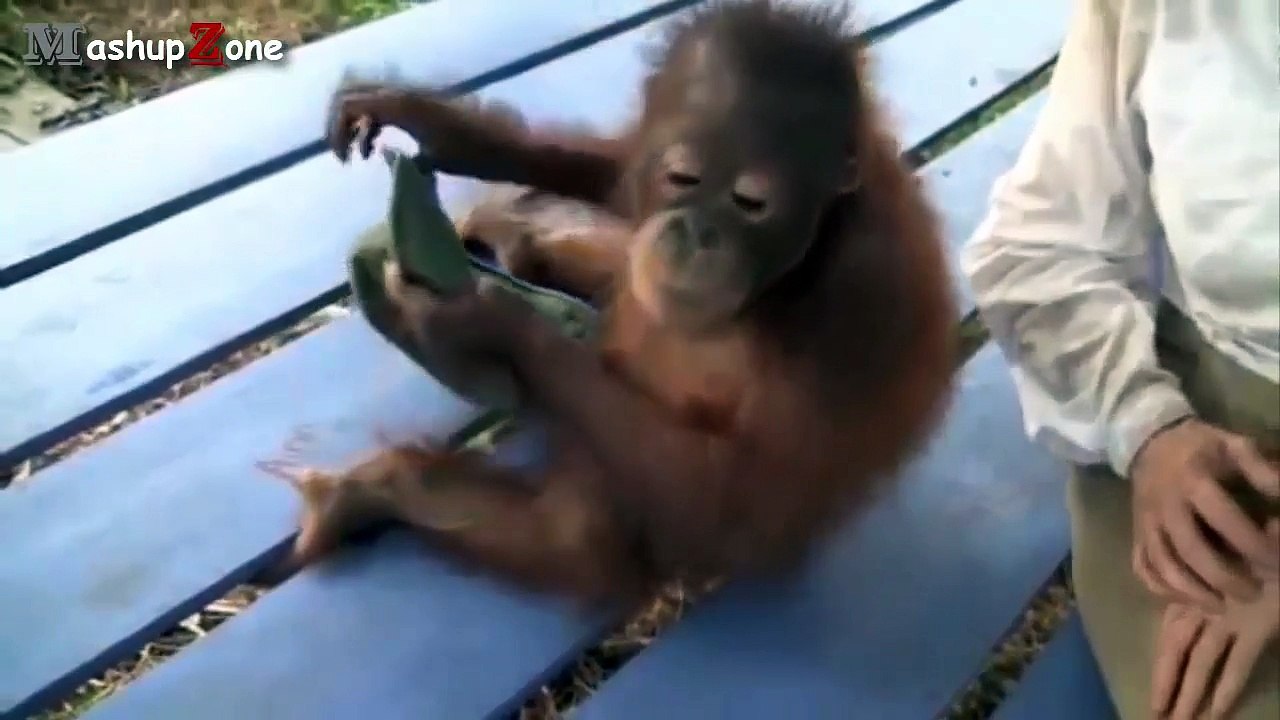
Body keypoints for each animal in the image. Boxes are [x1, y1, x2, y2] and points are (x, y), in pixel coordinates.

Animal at [280, 0, 959, 608]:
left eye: (751, 203)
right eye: (683, 180)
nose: (696, 233)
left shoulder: (863, 303)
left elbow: (733, 498)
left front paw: (479, 322)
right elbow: (613, 173)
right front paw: (423, 118)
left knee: (572, 536)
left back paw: (385, 478)